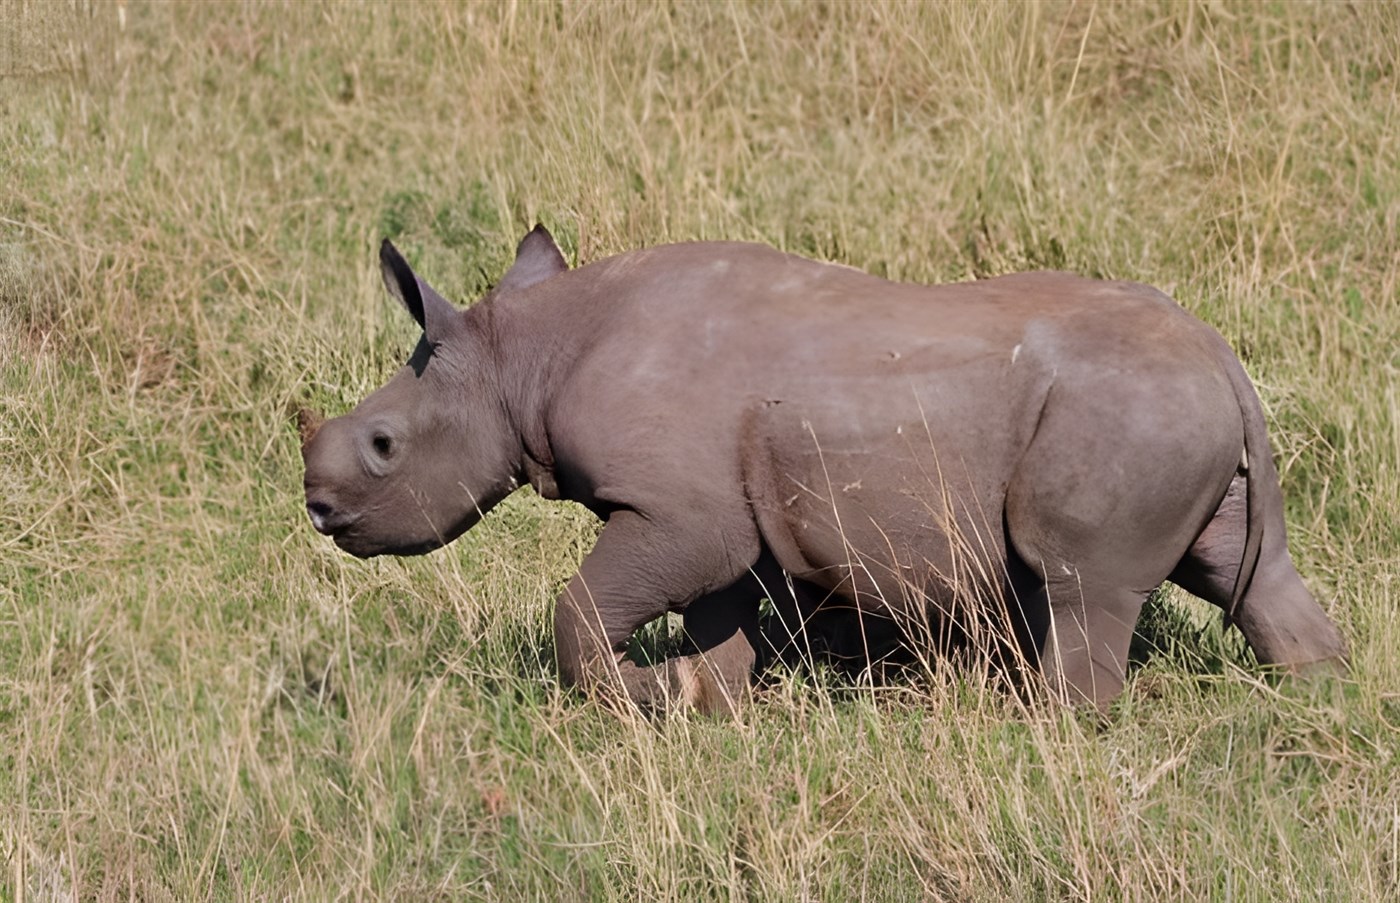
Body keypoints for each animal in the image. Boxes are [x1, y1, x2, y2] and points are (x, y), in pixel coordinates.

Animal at [300, 225, 1346, 712]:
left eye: (383, 445)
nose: (316, 509)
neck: (523, 356)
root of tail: (1221, 356)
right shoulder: (712, 509)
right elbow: (717, 608)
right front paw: (705, 699)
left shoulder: (675, 508)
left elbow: (584, 609)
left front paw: (644, 696)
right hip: (1178, 413)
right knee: (1248, 571)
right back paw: (1316, 693)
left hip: (1123, 412)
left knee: (1080, 582)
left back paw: (1042, 727)